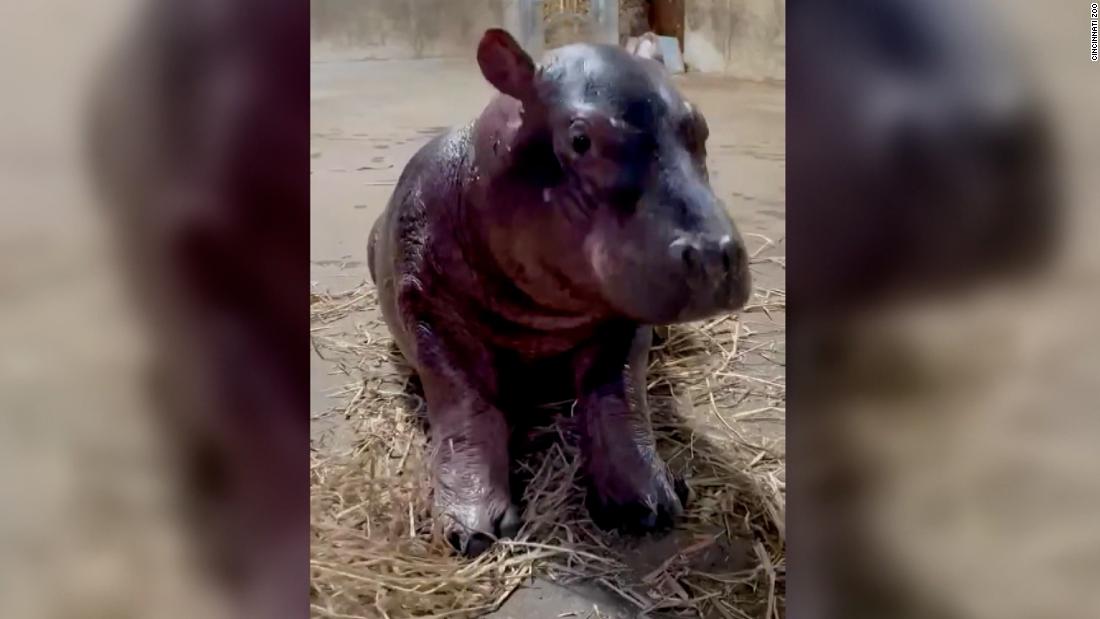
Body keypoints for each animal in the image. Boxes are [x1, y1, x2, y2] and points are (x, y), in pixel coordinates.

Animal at [367, 30, 748, 556]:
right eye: (580, 139)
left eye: (701, 128)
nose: (715, 254)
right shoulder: (424, 304)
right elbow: (465, 402)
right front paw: (472, 530)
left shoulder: (625, 318)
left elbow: (617, 394)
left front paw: (649, 503)